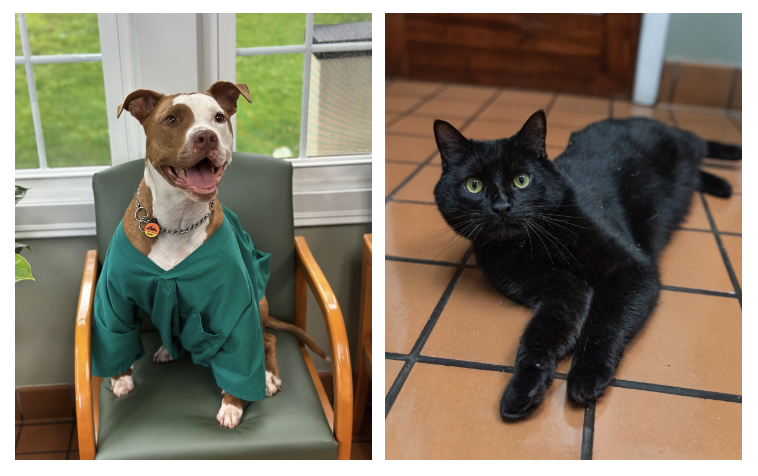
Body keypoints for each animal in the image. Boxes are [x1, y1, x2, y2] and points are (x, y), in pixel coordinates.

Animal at [108, 82, 328, 432]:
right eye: (171, 119)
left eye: (219, 117)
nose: (206, 137)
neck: (177, 224)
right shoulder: (113, 298)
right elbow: (114, 336)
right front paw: (120, 378)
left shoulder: (236, 306)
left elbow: (242, 359)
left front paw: (233, 405)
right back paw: (169, 350)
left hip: (258, 305)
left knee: (268, 340)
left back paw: (267, 378)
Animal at [434, 111, 744, 420]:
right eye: (474, 185)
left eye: (522, 180)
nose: (501, 206)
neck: (530, 244)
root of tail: (632, 117)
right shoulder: (564, 290)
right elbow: (540, 335)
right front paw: (525, 387)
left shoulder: (631, 269)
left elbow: (605, 323)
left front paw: (587, 375)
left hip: (685, 143)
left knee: (701, 143)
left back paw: (730, 167)